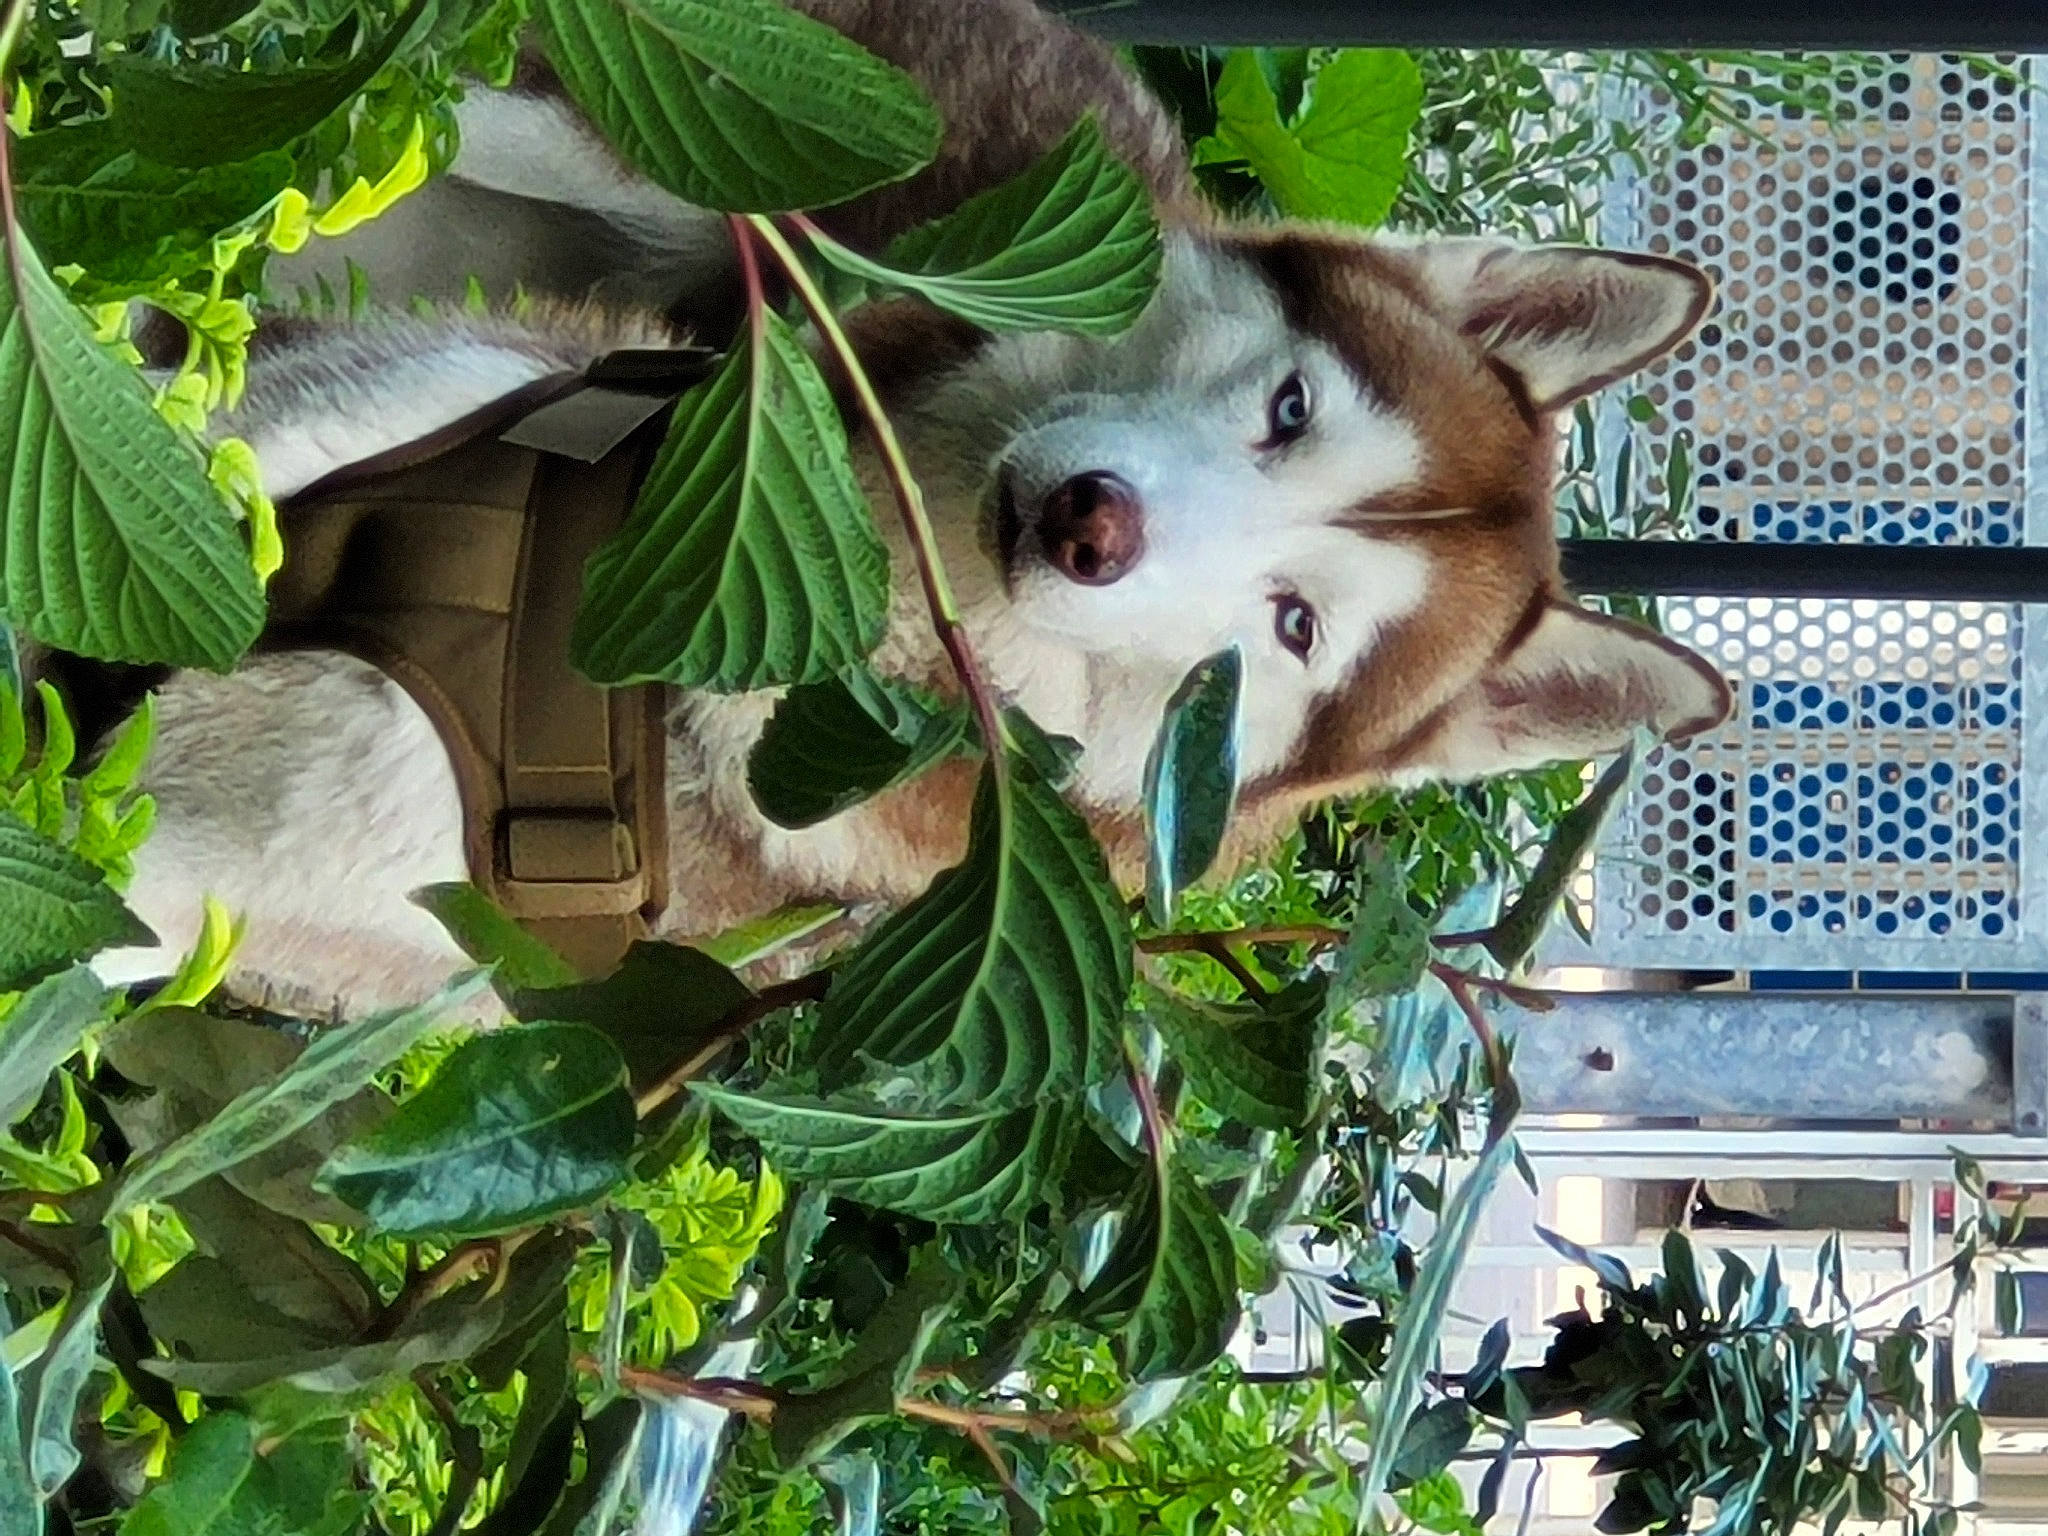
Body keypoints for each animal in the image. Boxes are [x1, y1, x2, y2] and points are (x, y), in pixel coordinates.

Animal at [85, 0, 1733, 1017]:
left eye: (1292, 629)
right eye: (1288, 411)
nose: (1091, 525)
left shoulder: (198, 876)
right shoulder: (293, 448)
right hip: (646, 149)